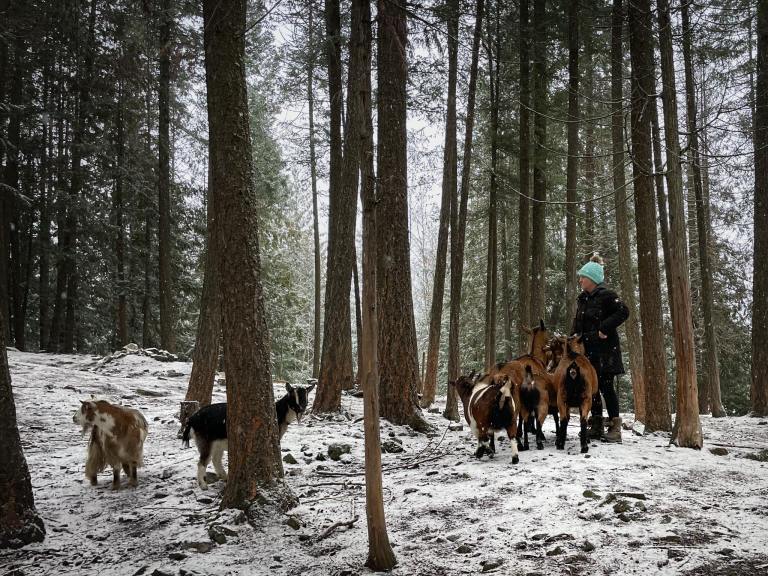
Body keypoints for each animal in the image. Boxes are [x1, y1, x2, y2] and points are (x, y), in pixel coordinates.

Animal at [182, 382, 314, 489]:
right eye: (292, 396)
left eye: (305, 396)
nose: (301, 409)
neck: (279, 412)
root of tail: (192, 419)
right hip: (205, 440)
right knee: (202, 461)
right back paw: (203, 485)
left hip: (217, 442)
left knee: (216, 459)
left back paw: (225, 477)